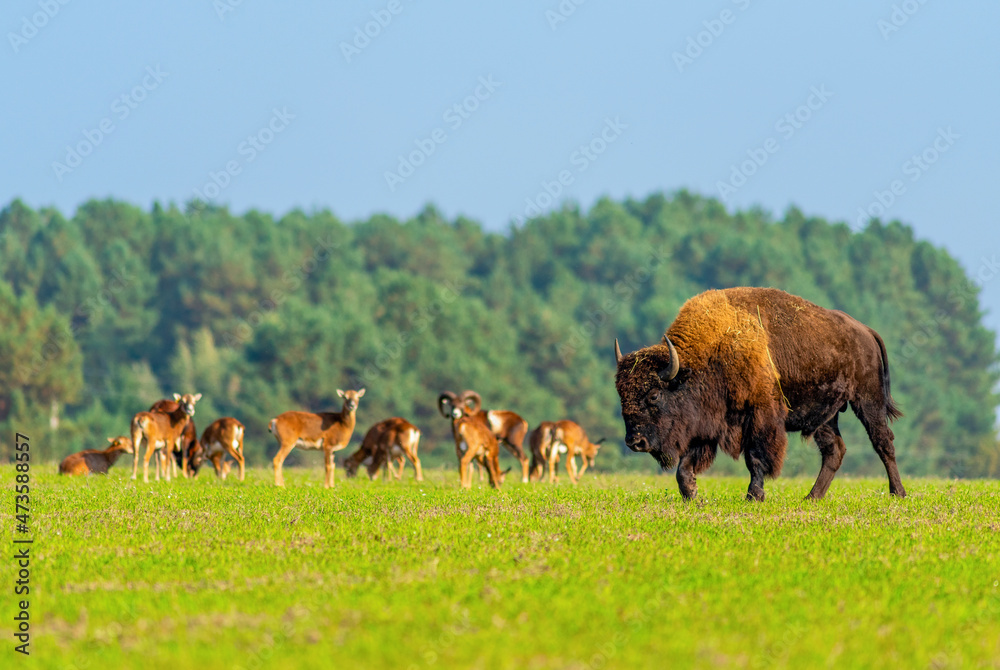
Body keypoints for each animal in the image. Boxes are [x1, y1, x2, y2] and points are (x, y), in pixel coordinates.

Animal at [612, 288, 912, 504]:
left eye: (653, 396)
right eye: (621, 395)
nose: (634, 442)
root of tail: (866, 332)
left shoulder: (760, 417)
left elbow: (755, 458)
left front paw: (753, 496)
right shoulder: (708, 426)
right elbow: (685, 467)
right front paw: (693, 496)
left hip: (867, 400)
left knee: (883, 441)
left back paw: (897, 493)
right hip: (826, 416)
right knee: (834, 449)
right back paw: (812, 497)